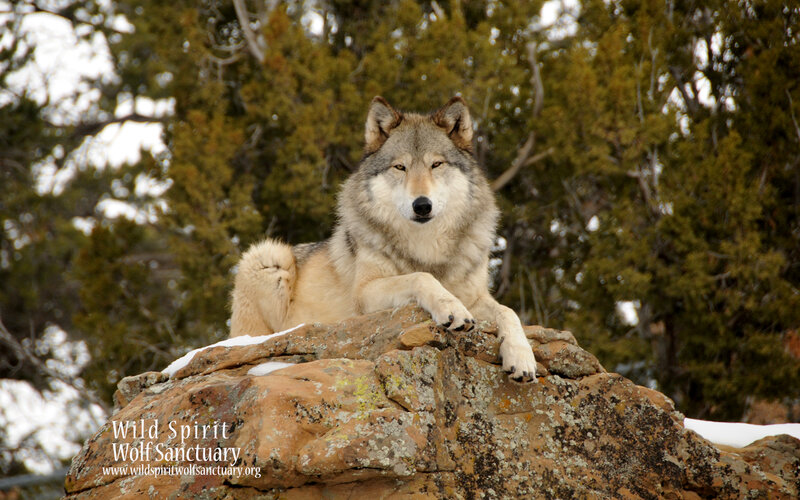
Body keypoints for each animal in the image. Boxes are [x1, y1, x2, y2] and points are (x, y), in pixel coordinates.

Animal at [230, 96, 537, 382]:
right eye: (400, 167)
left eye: (436, 164)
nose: (421, 205)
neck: (427, 246)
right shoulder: (364, 294)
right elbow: (421, 277)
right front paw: (450, 308)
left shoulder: (477, 296)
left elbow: (509, 311)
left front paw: (522, 357)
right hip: (268, 257)